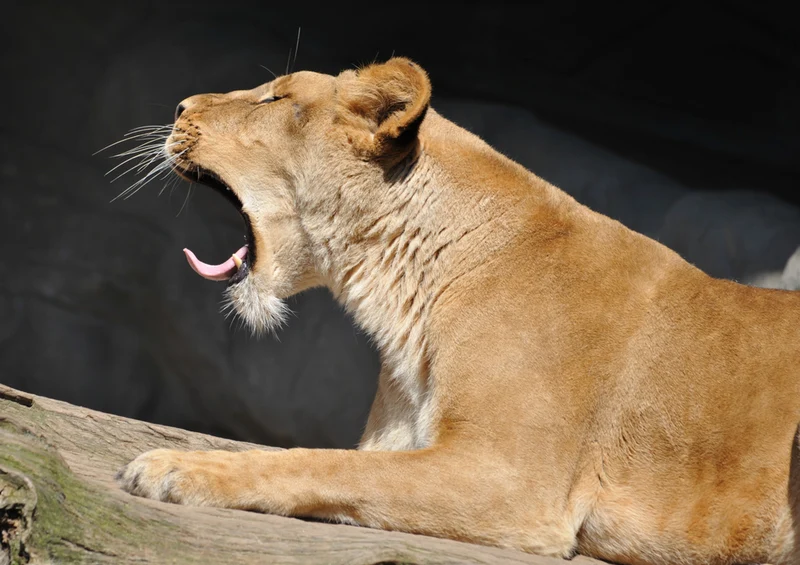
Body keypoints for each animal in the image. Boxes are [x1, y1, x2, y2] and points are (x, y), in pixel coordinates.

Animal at [116, 58, 800, 565]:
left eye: (273, 98)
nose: (178, 108)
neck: (401, 288)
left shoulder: (512, 481)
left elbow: (322, 462)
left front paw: (177, 466)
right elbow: (341, 464)